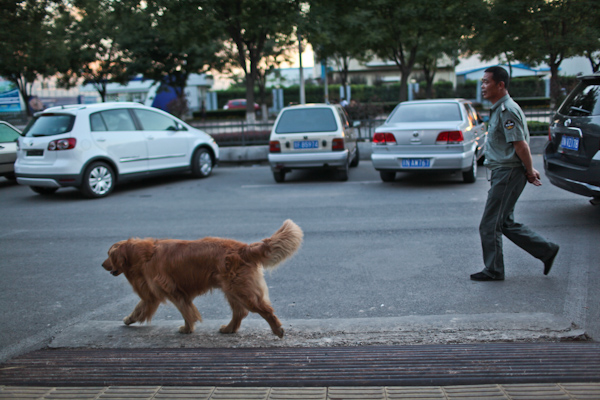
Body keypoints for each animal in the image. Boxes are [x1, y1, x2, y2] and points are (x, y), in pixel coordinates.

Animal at [101, 220, 304, 336]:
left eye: (108, 255)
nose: (102, 265)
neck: (145, 254)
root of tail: (244, 248)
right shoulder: (153, 295)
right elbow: (139, 308)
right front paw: (128, 319)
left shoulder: (173, 291)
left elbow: (185, 311)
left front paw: (187, 329)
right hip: (232, 290)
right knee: (240, 312)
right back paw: (229, 329)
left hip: (241, 290)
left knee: (265, 310)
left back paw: (277, 330)